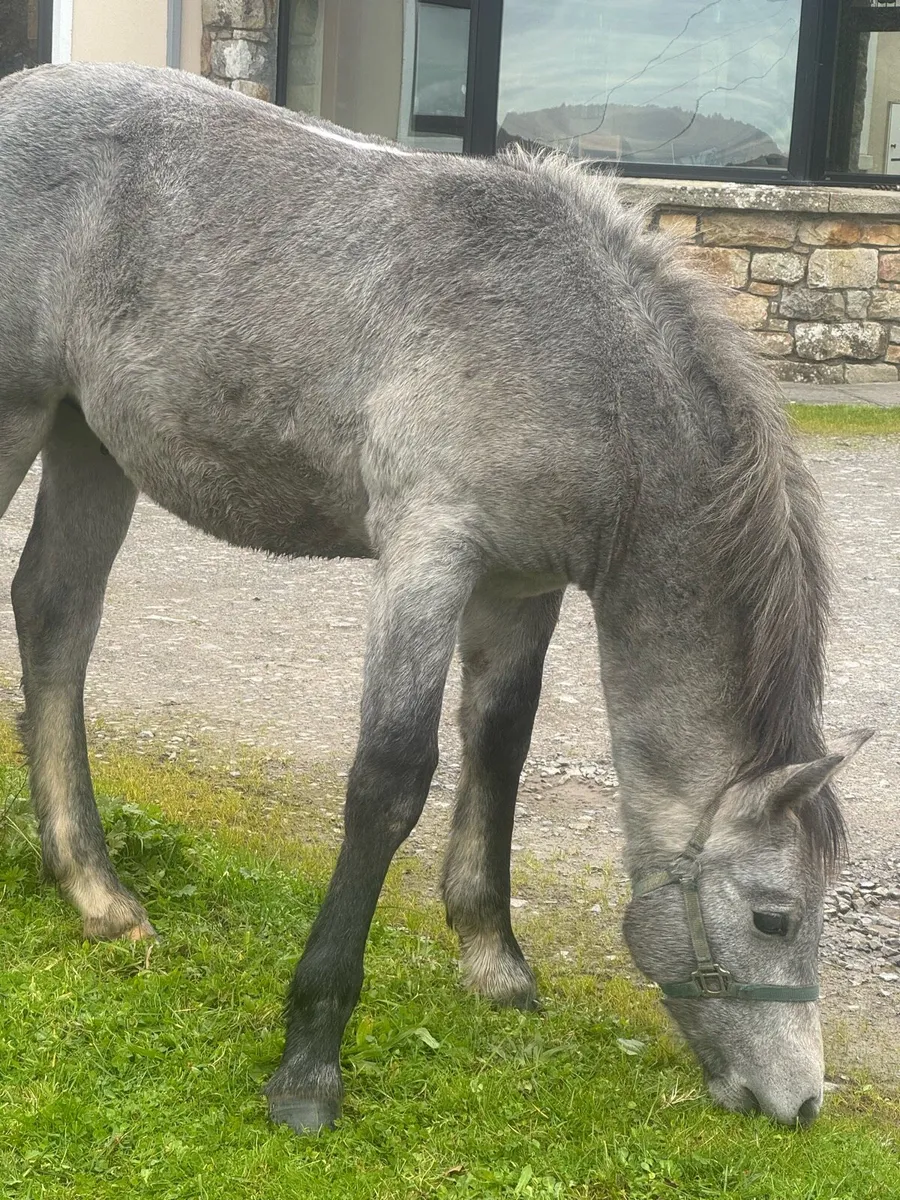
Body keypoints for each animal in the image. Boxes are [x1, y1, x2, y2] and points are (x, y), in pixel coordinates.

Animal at [0, 62, 871, 1134]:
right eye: (773, 916)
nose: (800, 1102)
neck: (587, 369)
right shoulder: (427, 556)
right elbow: (390, 780)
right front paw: (310, 1061)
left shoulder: (521, 587)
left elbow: (498, 747)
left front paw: (494, 961)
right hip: (20, 417)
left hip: (89, 439)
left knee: (57, 618)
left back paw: (95, 891)